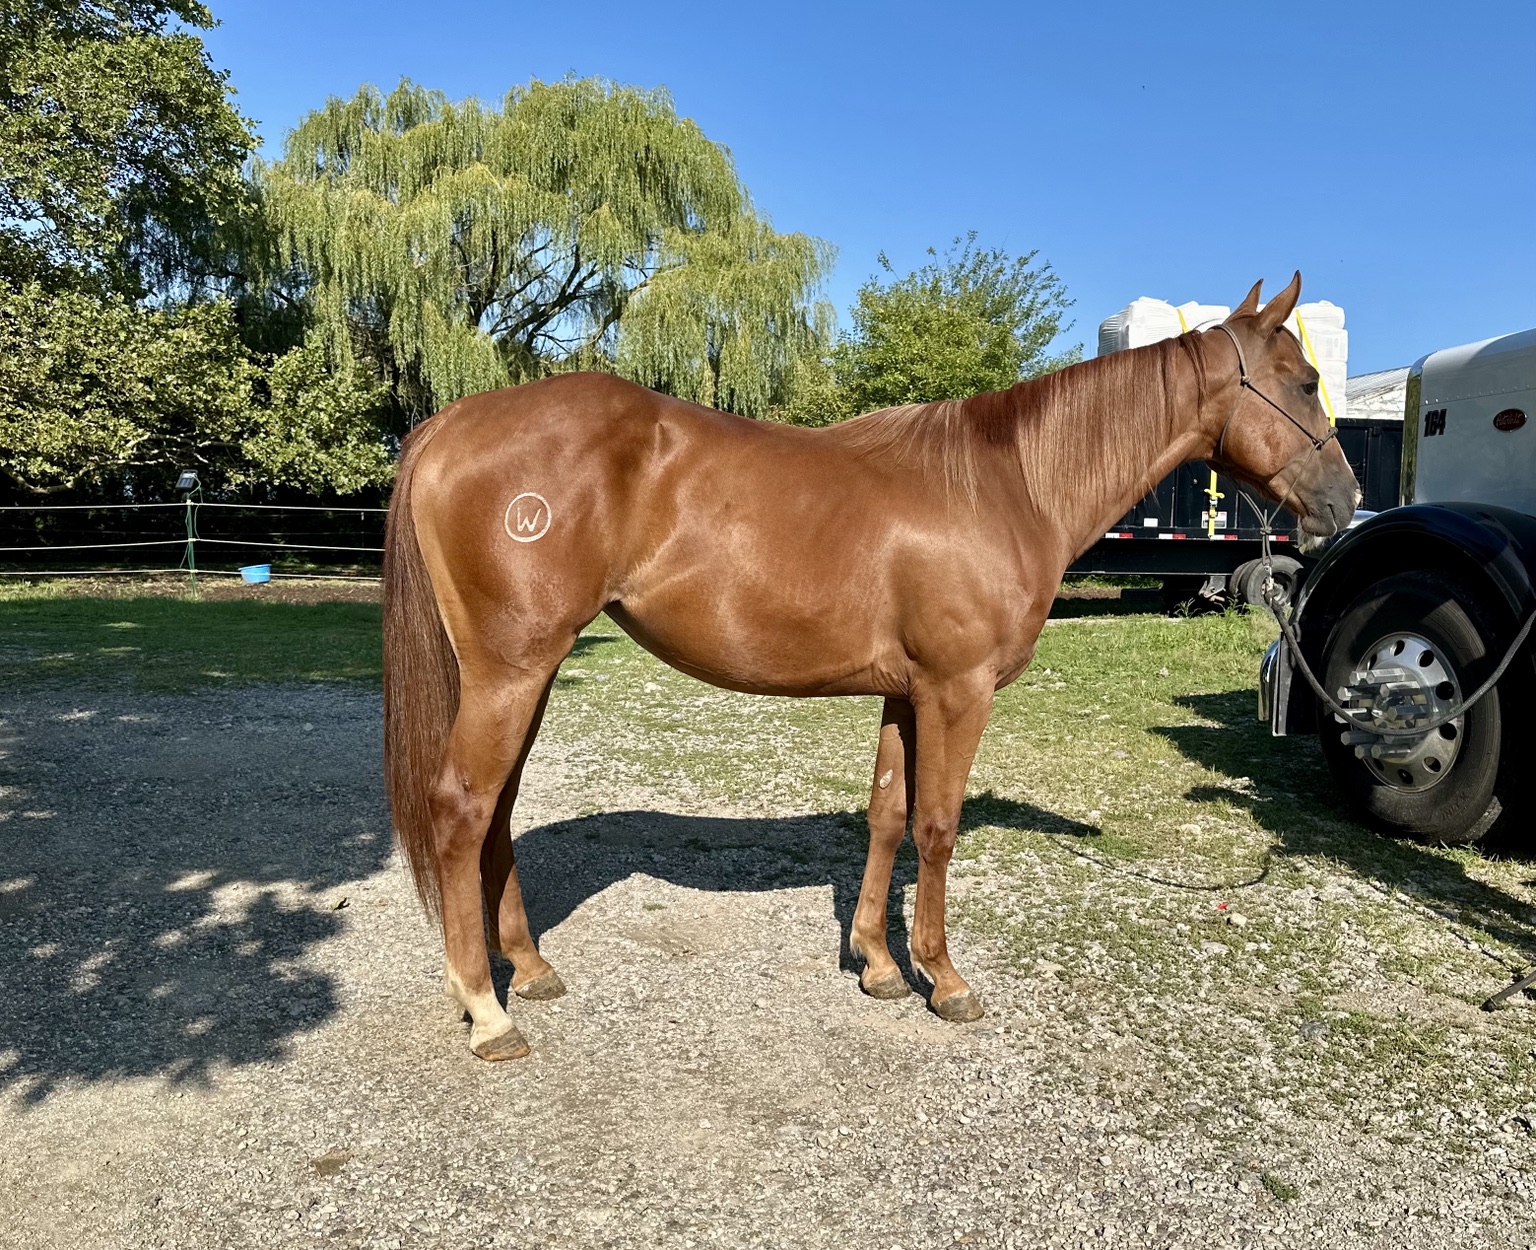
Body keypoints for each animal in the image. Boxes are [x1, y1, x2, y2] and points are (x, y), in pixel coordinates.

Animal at [382, 273, 1359, 1061]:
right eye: (1304, 382)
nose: (1344, 502)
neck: (1007, 486)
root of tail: (451, 423)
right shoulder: (958, 692)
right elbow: (937, 826)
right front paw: (944, 979)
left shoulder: (906, 693)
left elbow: (887, 816)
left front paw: (880, 965)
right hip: (512, 672)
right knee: (463, 808)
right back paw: (488, 1011)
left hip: (528, 676)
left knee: (499, 807)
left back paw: (529, 967)